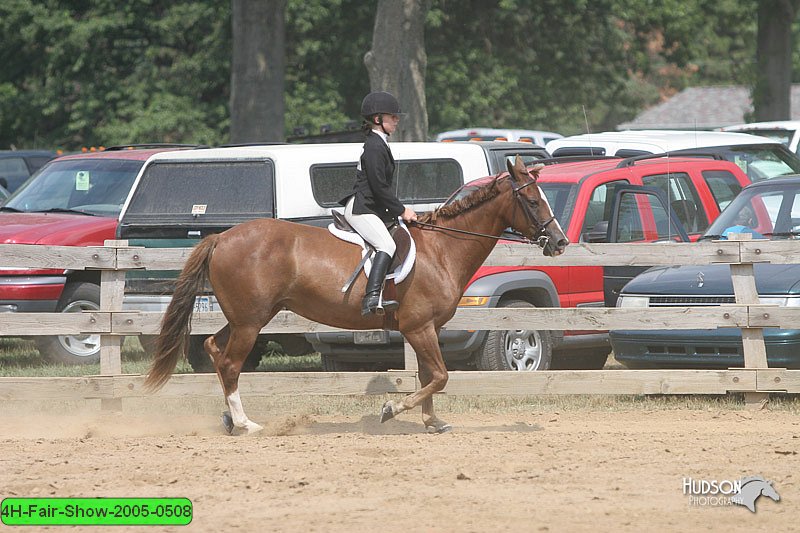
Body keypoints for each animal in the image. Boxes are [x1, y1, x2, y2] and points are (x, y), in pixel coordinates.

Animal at [144, 156, 568, 434]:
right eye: (533, 201)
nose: (560, 242)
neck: (442, 249)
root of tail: (221, 237)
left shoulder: (427, 328)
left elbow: (430, 376)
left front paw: (432, 422)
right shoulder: (418, 326)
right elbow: (440, 375)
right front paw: (392, 409)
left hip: (243, 318)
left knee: (214, 350)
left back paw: (230, 419)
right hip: (250, 322)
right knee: (231, 364)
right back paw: (246, 424)